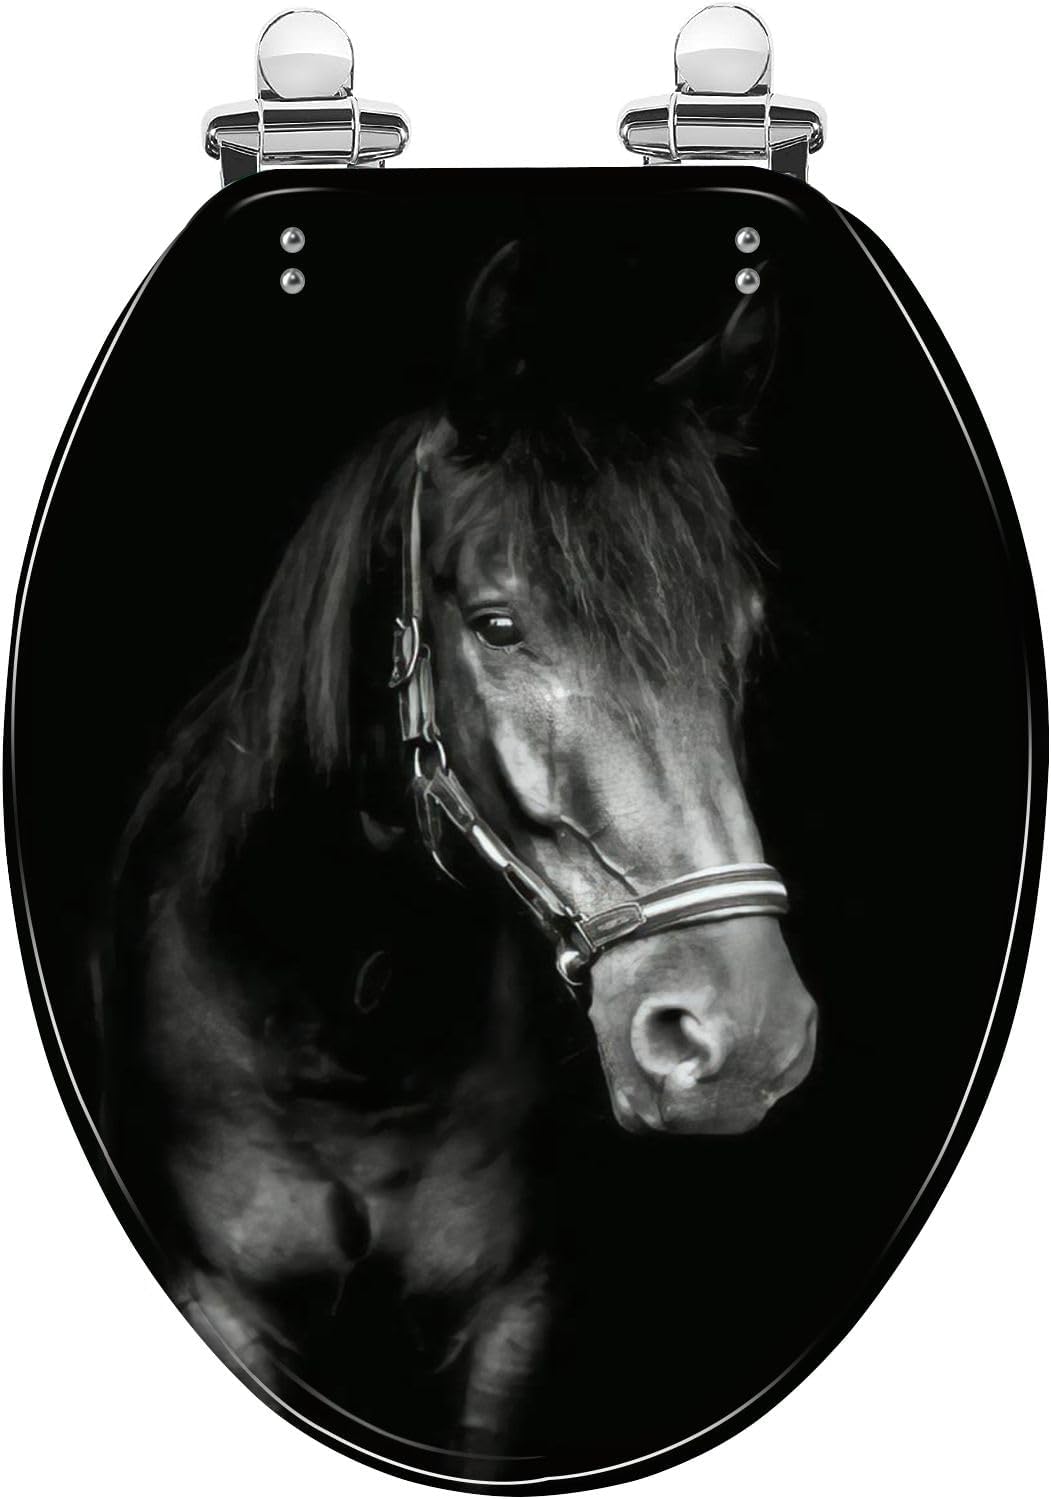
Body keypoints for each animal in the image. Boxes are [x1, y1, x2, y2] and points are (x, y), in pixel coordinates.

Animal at [101, 240, 817, 1472]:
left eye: (743, 633)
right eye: (496, 624)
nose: (742, 1038)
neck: (348, 1005)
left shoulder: (509, 1316)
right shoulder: (222, 1299)